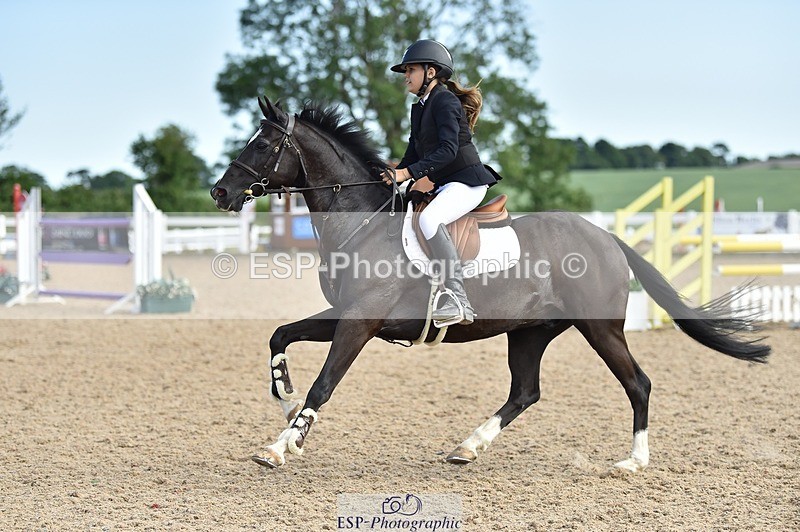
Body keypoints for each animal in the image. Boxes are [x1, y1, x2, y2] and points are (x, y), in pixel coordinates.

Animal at [211, 96, 770, 470]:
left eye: (263, 145)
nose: (219, 192)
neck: (362, 221)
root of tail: (607, 236)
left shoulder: (360, 322)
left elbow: (325, 384)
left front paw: (281, 445)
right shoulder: (348, 316)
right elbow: (281, 334)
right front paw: (283, 395)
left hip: (600, 328)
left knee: (637, 382)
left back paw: (634, 461)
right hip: (530, 330)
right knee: (525, 391)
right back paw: (468, 446)